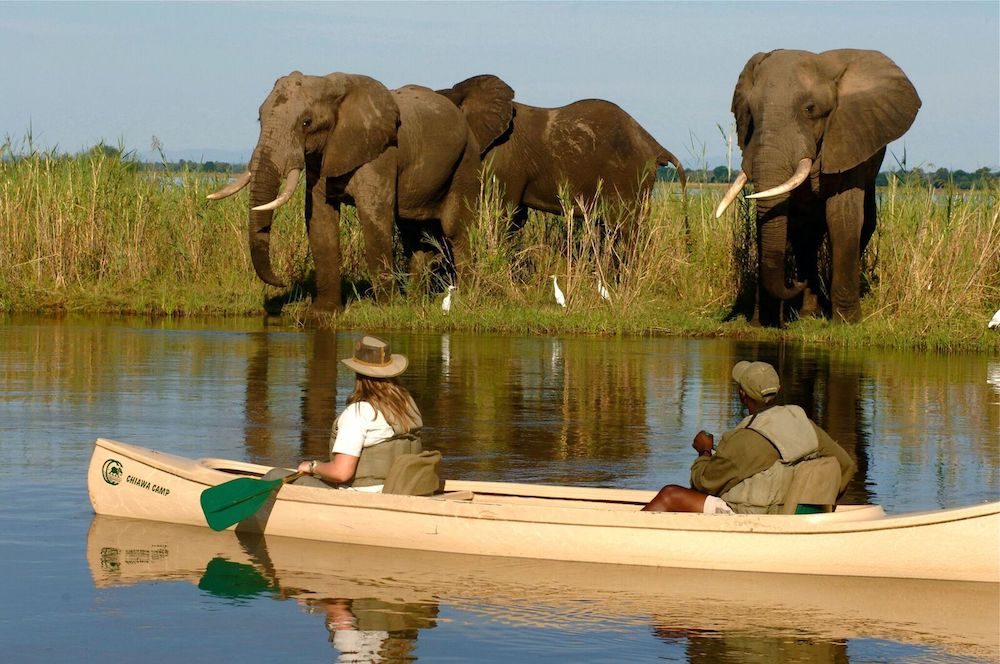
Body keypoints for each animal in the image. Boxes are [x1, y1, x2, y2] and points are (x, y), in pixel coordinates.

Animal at [209, 71, 494, 316]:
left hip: (466, 161)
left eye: (306, 123)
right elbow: (320, 221)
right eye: (260, 119)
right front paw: (322, 314)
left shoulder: (381, 153)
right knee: (415, 233)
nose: (280, 282)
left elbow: (373, 218)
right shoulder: (321, 157)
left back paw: (464, 298)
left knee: (456, 230)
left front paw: (387, 309)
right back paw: (415, 302)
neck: (330, 86)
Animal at [712, 48, 920, 324]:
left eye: (810, 109)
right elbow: (777, 218)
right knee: (806, 235)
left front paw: (847, 322)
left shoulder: (848, 138)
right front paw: (761, 323)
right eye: (751, 112)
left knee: (862, 225)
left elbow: (842, 217)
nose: (795, 284)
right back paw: (809, 313)